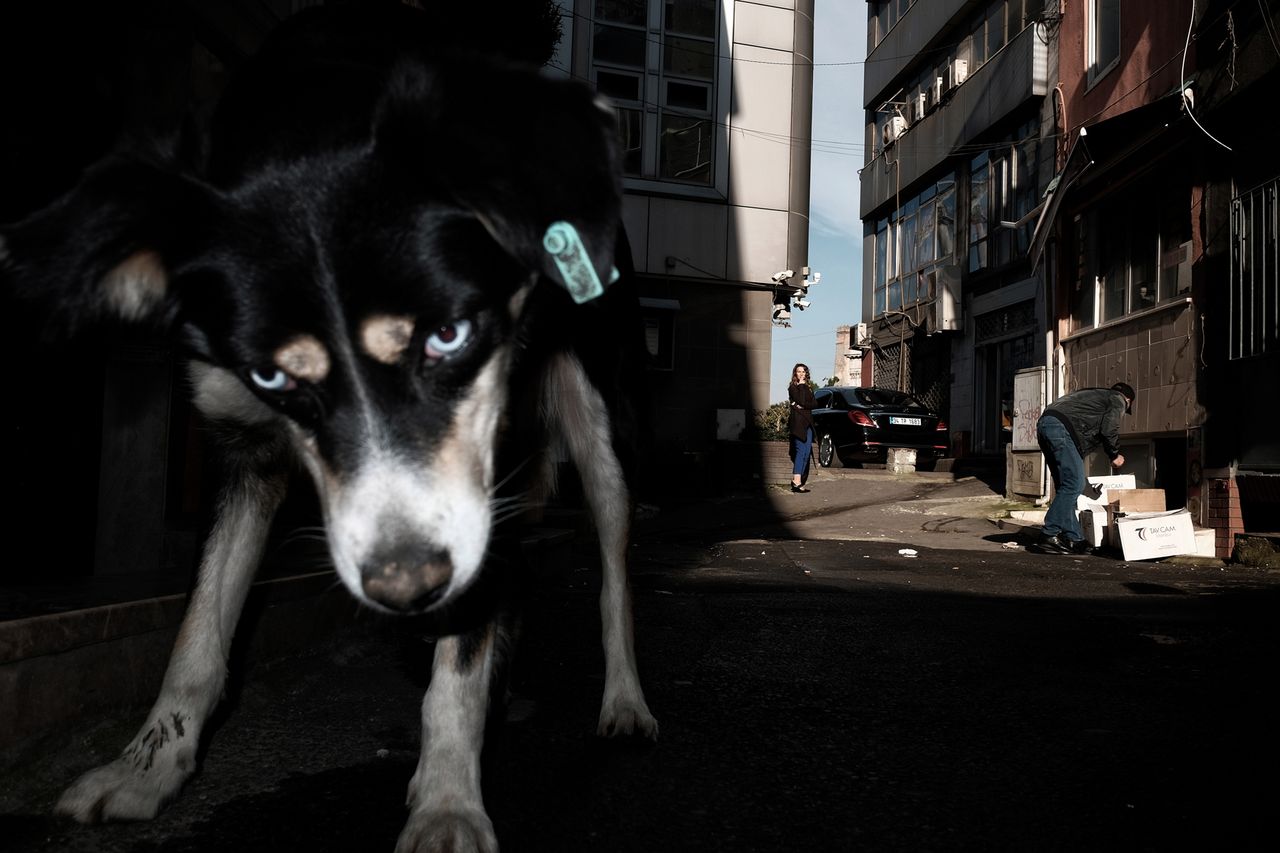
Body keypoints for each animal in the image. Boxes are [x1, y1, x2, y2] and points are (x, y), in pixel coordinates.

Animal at [0, 6, 655, 850]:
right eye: (273, 378)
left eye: (448, 335)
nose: (406, 585)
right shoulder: (245, 449)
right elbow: (200, 627)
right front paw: (147, 766)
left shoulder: (485, 461)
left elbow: (457, 662)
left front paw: (447, 799)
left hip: (599, 416)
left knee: (612, 562)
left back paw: (624, 701)